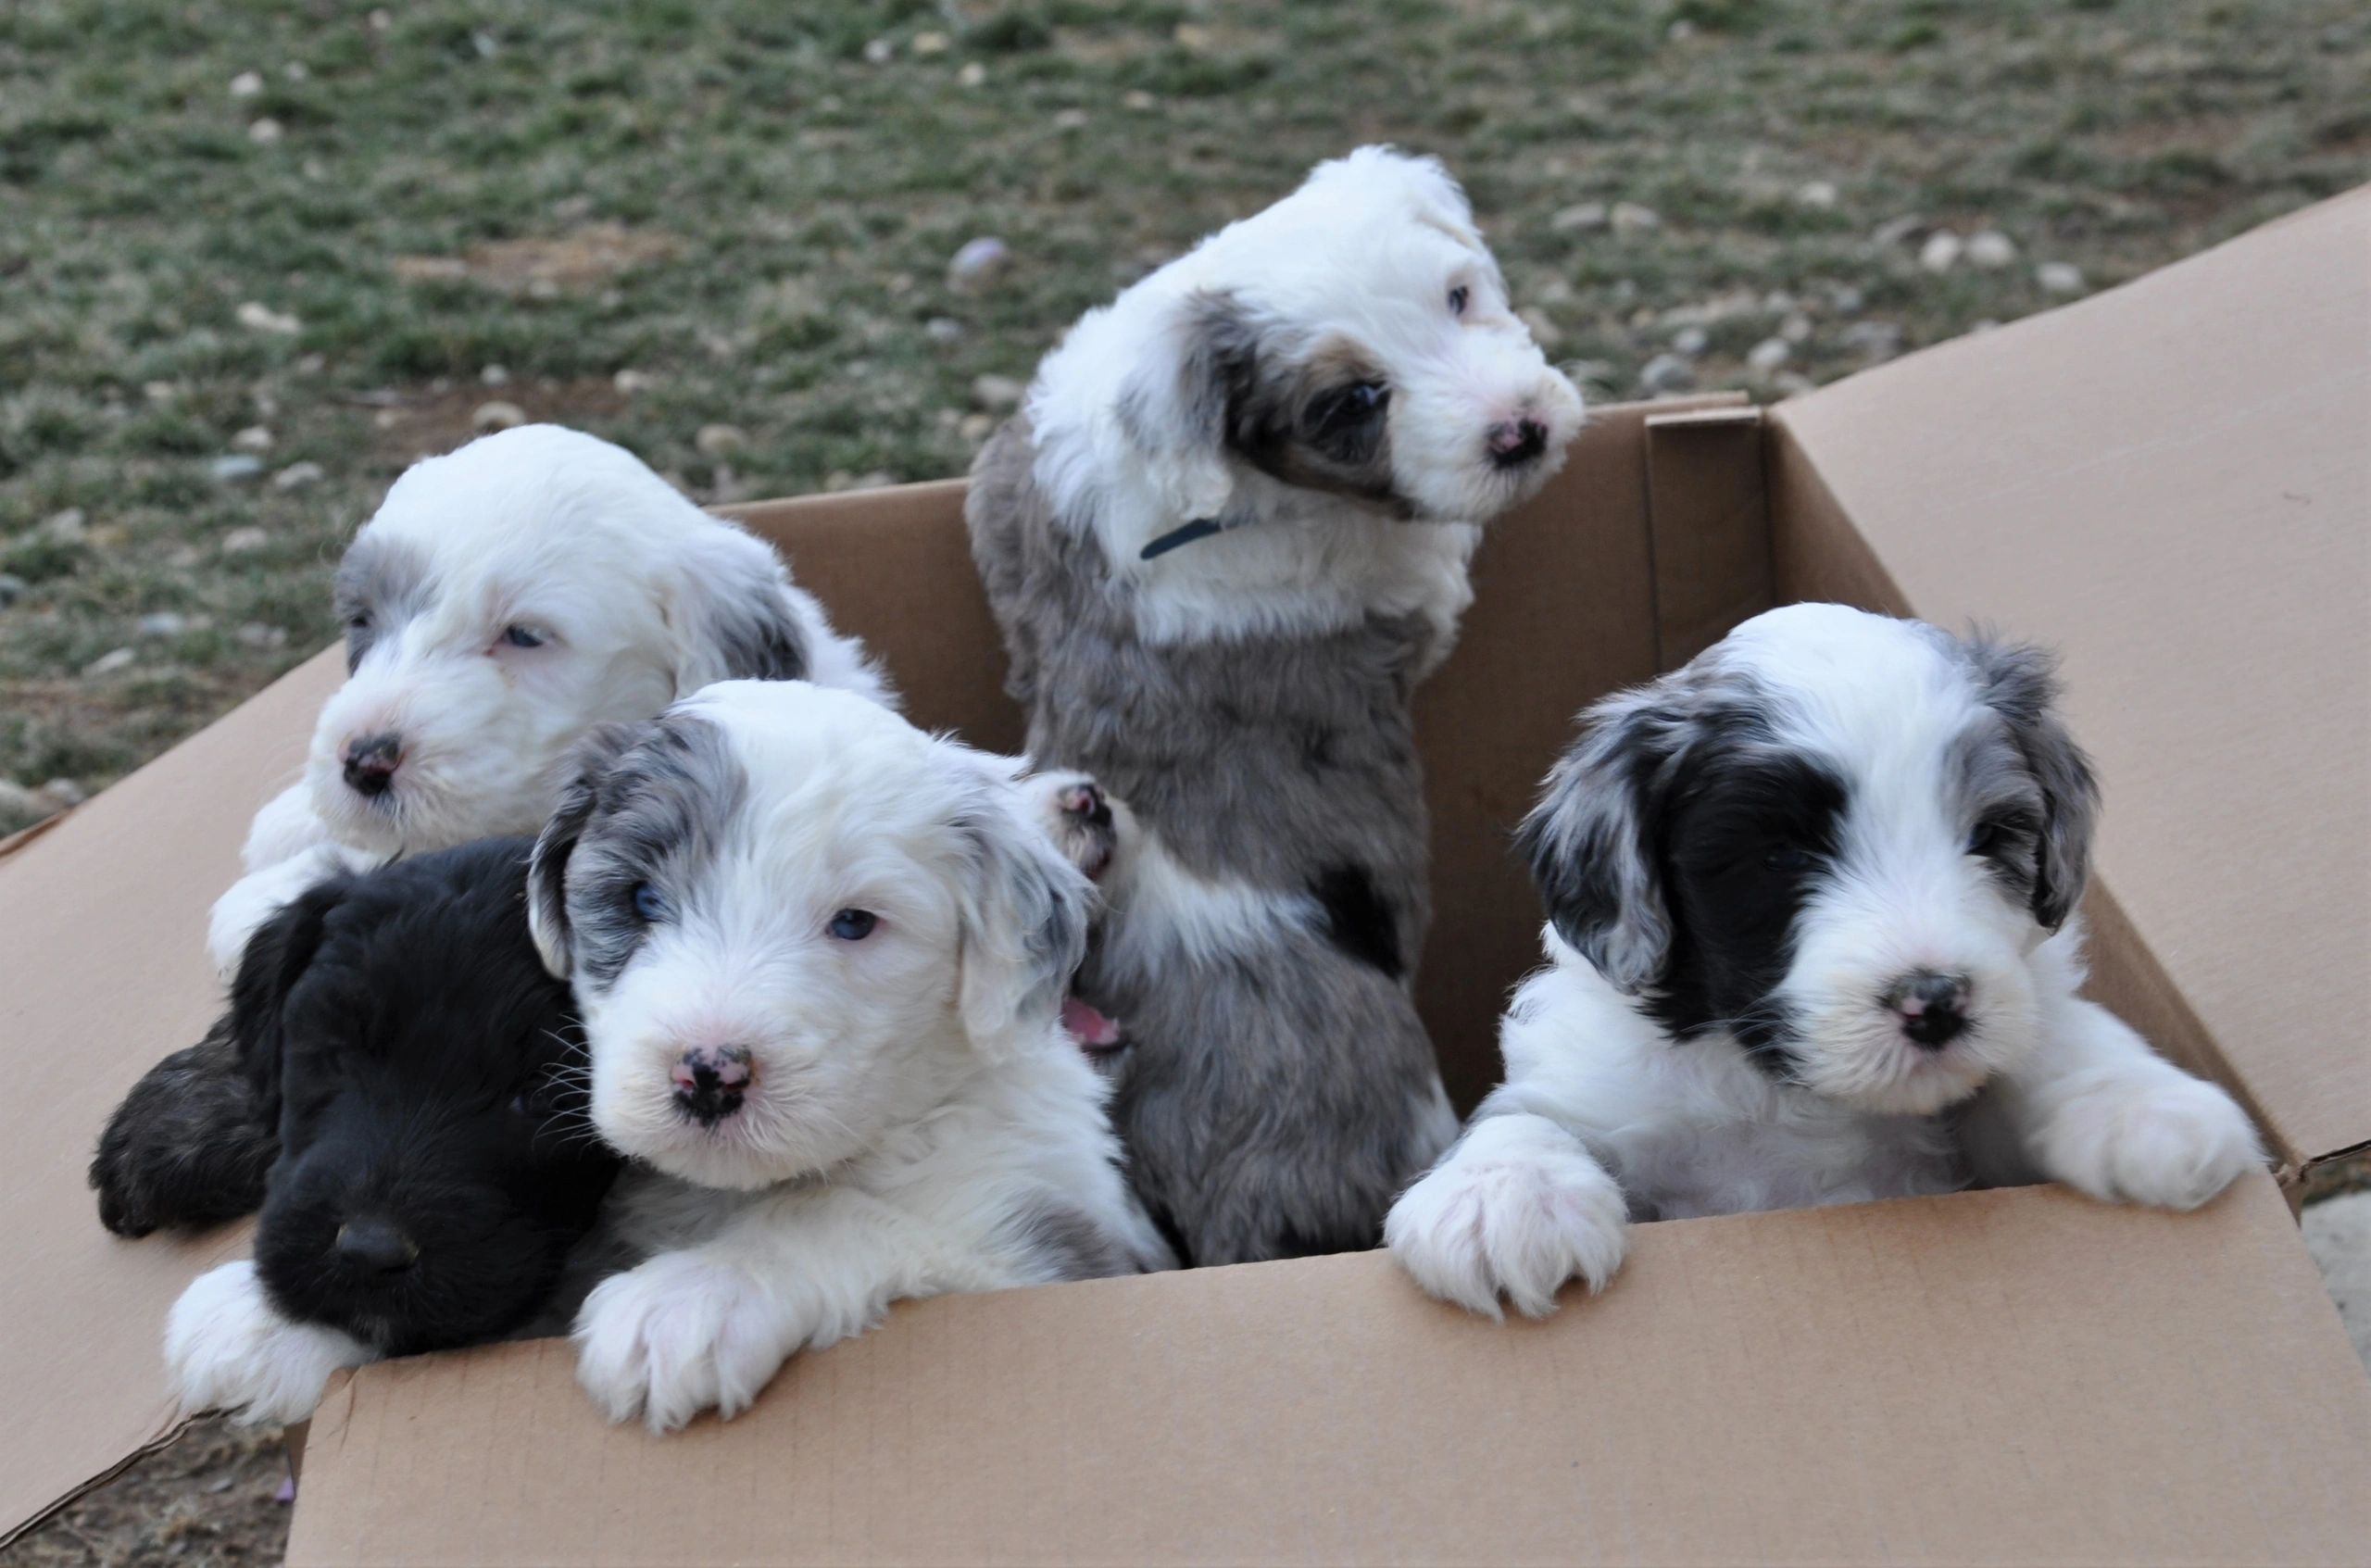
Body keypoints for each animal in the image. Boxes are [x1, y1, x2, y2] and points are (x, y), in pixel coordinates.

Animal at [533, 673, 1171, 1433]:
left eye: (855, 922)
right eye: (643, 898)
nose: (711, 1073)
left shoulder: (1052, 1248)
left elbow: (834, 1210)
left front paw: (692, 1297)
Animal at [962, 146, 1593, 1261]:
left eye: (1458, 296)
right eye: (1352, 402)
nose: (1519, 433)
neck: (1204, 488)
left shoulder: (1011, 476)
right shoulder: (1409, 582)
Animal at [1385, 605, 2257, 1319]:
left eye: (1989, 836)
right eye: (1777, 856)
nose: (1935, 1000)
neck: (1789, 1098)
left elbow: (2049, 1040)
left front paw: (2146, 1107)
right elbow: (1525, 1115)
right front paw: (1502, 1200)